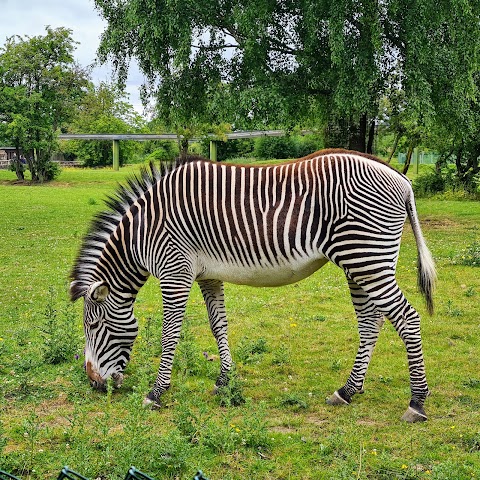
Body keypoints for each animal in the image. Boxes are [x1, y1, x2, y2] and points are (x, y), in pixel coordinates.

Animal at [70, 148, 436, 422]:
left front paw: (156, 392)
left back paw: (416, 401)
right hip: (361, 263)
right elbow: (218, 325)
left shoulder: (176, 272)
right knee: (372, 322)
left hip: (365, 258)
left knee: (406, 318)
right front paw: (224, 380)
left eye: (93, 326)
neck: (142, 232)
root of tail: (400, 177)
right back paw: (347, 391)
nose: (93, 383)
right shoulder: (207, 273)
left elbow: (170, 333)